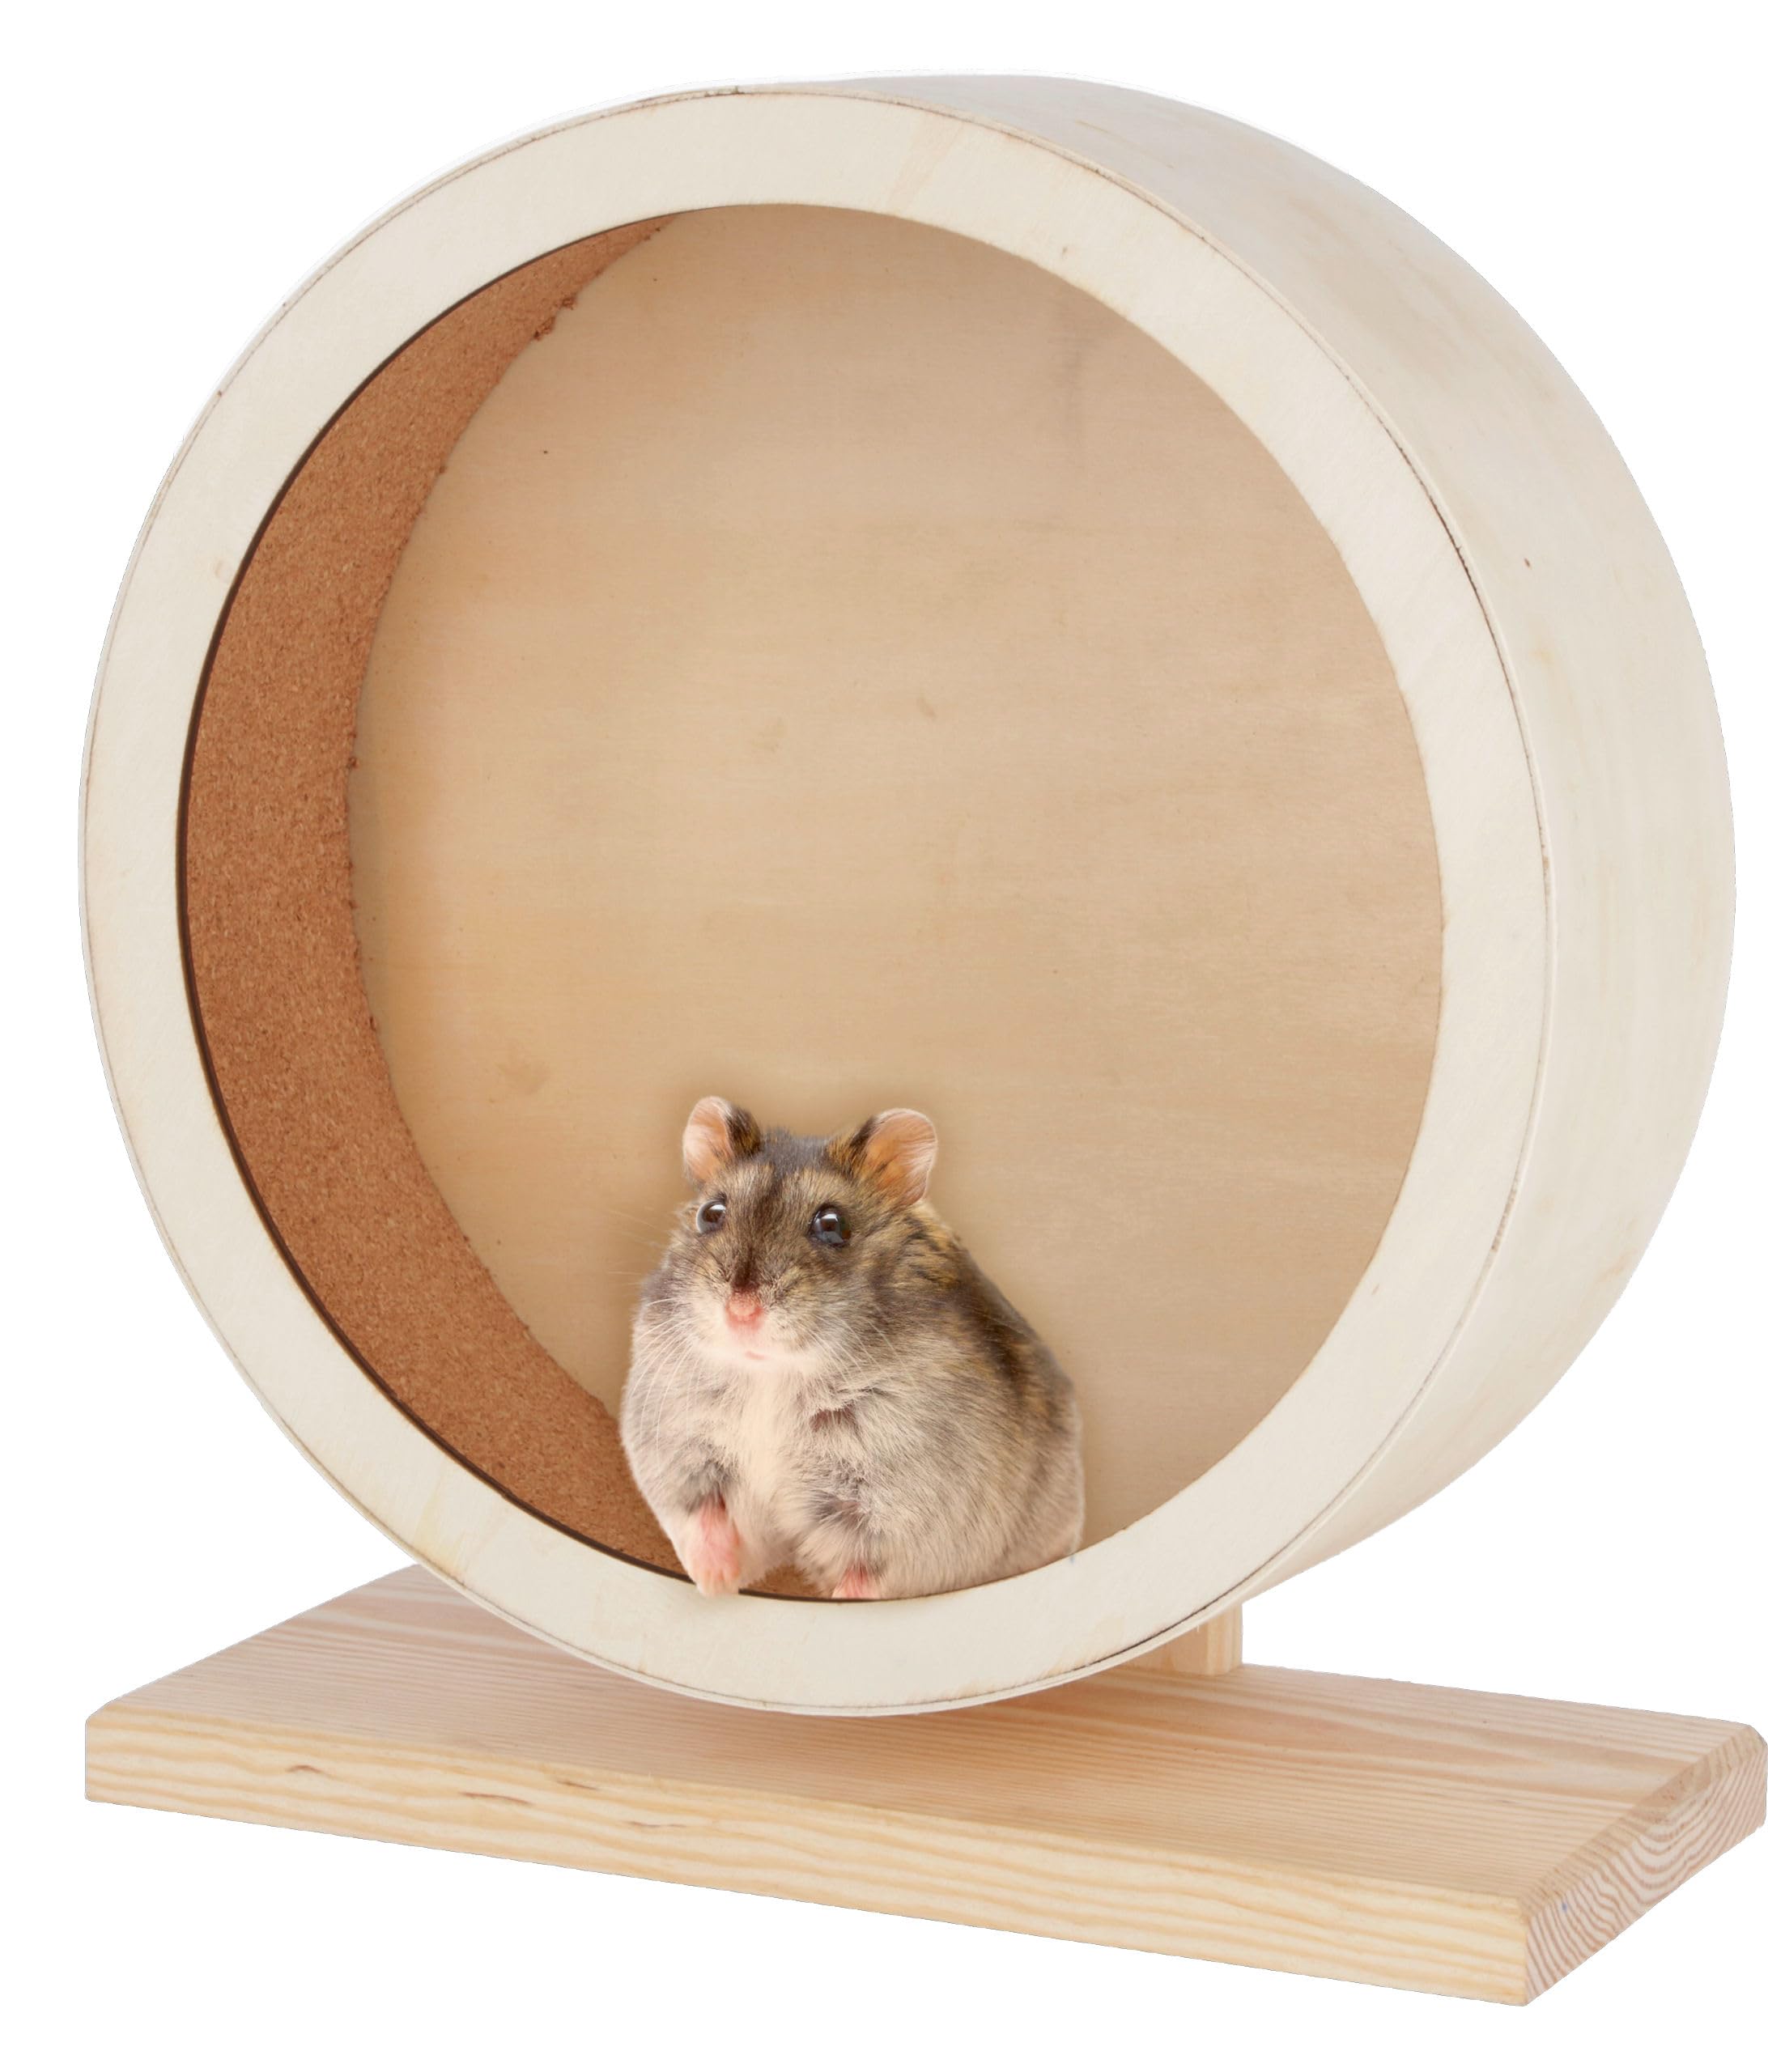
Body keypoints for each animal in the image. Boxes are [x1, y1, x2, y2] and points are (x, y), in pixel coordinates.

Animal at [619, 1098, 1084, 1600]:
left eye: (831, 1224)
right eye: (710, 1213)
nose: (741, 1312)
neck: (773, 1374)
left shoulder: (906, 1517)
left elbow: (868, 1574)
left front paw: (841, 1600)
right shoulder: (678, 1459)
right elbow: (702, 1522)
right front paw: (714, 1585)